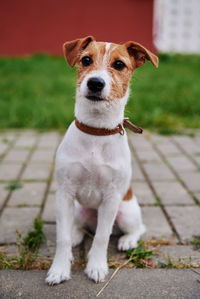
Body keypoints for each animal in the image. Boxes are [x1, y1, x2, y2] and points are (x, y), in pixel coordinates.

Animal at [45, 35, 158, 286]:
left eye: (119, 65)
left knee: (137, 228)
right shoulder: (64, 194)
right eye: (86, 60)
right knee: (78, 227)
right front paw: (59, 269)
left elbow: (101, 238)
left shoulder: (111, 198)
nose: (95, 83)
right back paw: (77, 235)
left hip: (126, 212)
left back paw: (127, 241)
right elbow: (62, 238)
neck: (96, 131)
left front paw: (96, 267)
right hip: (78, 209)